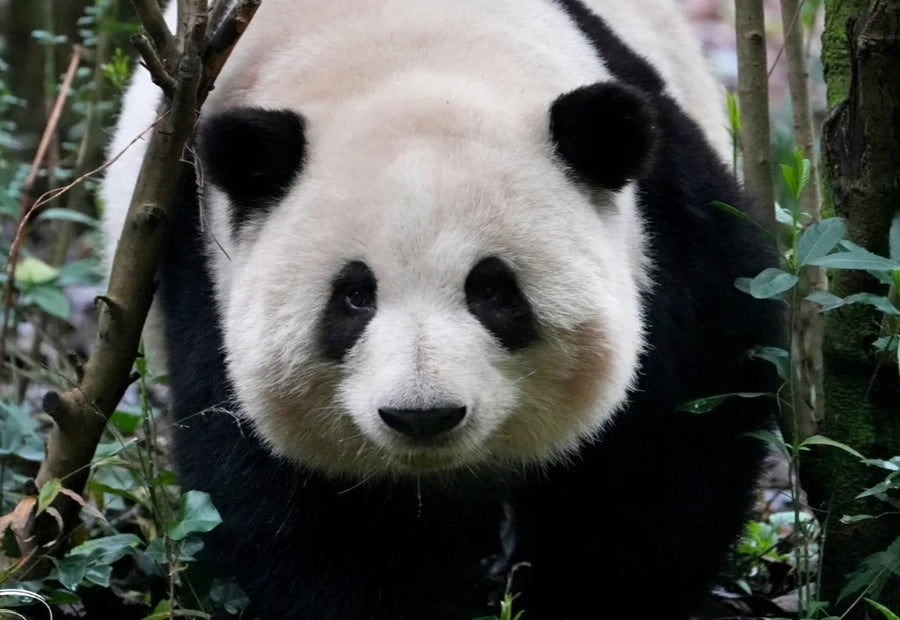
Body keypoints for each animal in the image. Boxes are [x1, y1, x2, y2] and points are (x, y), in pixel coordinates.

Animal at [101, 0, 782, 618]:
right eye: (354, 297)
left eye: (492, 291)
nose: (422, 416)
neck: (409, 57)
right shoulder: (202, 263)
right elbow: (285, 503)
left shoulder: (667, 229)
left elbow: (675, 432)